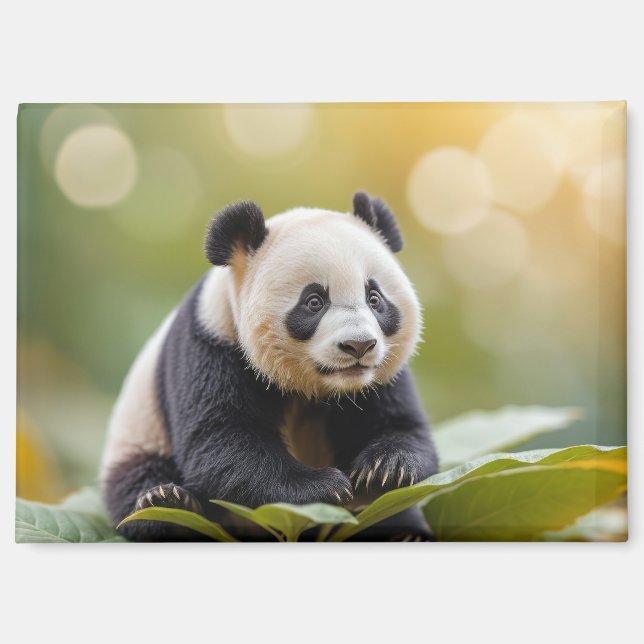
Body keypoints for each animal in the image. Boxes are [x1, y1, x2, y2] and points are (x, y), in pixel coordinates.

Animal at [100, 191, 439, 541]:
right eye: (314, 302)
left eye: (374, 298)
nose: (359, 345)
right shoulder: (211, 343)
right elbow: (223, 442)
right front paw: (325, 487)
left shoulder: (382, 375)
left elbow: (400, 424)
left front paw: (385, 469)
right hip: (140, 433)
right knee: (138, 481)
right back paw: (168, 503)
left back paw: (406, 534)